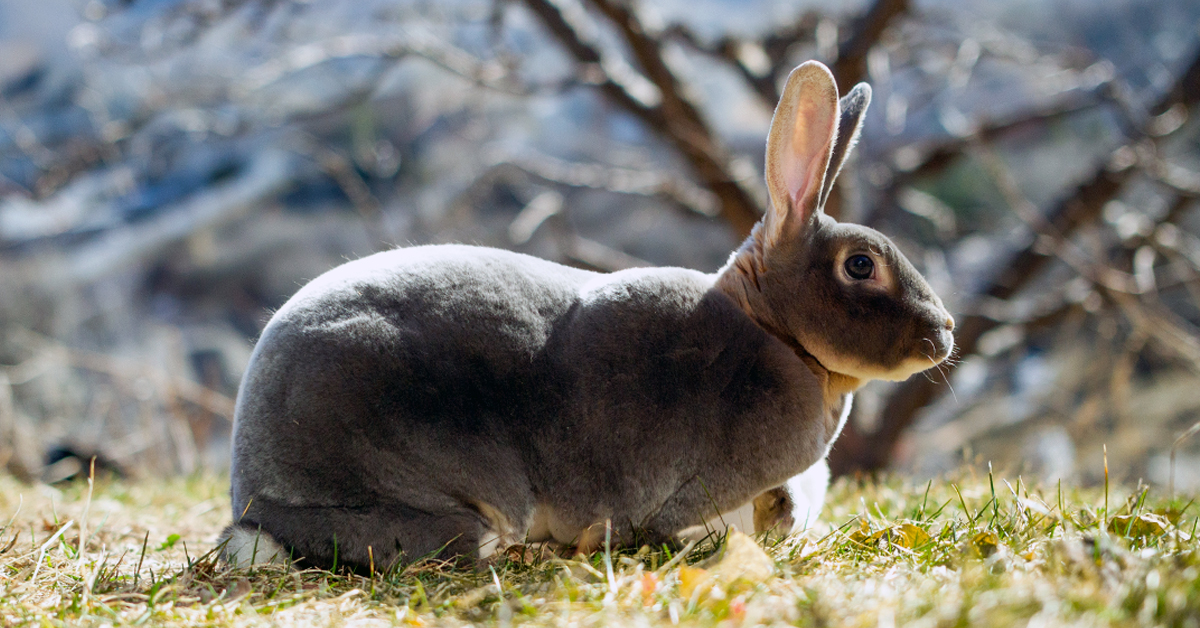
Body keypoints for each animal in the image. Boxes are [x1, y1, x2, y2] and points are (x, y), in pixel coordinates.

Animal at [220, 61, 955, 571]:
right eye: (860, 266)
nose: (945, 331)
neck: (774, 334)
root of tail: (250, 495)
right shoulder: (690, 496)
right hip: (433, 493)